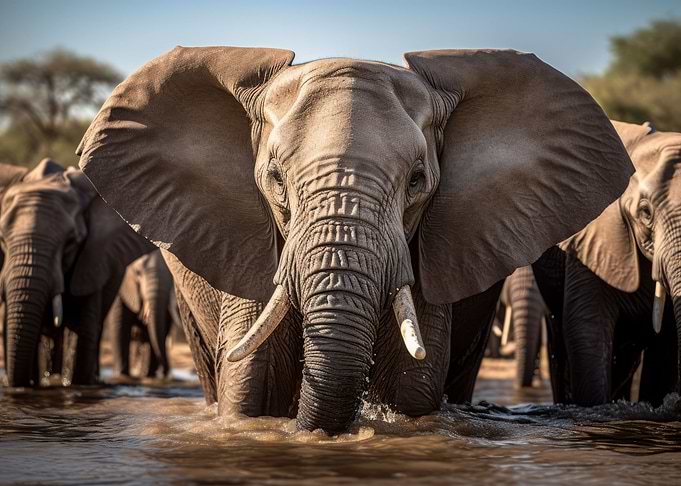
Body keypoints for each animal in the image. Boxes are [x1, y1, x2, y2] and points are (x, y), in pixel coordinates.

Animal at [108, 249, 177, 378]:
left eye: (172, 276)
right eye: (138, 273)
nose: (164, 372)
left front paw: (149, 375)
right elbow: (119, 326)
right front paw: (121, 374)